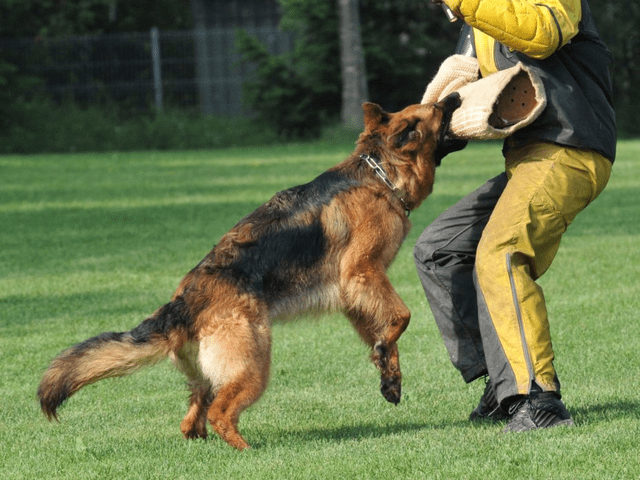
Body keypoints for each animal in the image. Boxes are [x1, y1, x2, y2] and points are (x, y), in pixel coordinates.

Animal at [38, 93, 460, 450]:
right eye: (436, 109)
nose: (456, 95)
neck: (380, 173)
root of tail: (182, 305)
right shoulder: (362, 273)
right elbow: (402, 316)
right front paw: (386, 351)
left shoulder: (356, 295)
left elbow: (385, 335)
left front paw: (388, 373)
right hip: (253, 364)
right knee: (220, 413)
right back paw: (246, 451)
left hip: (213, 374)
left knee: (193, 416)